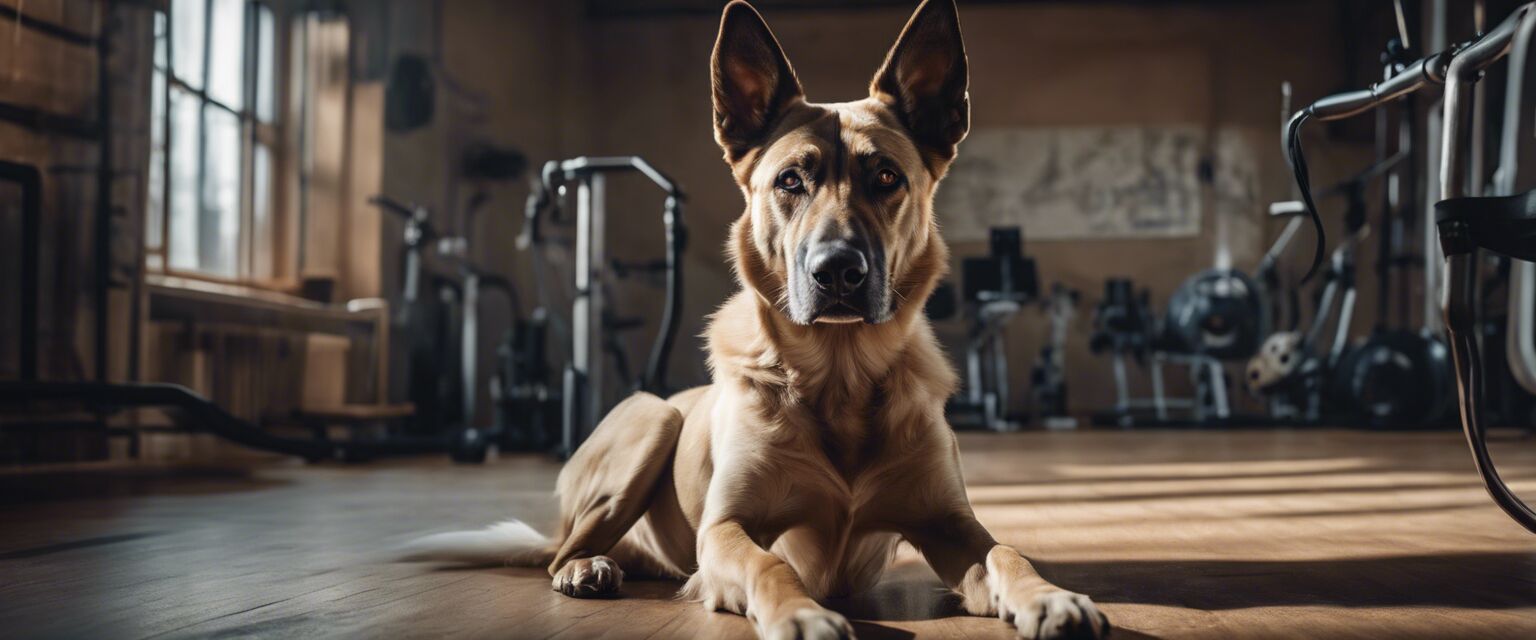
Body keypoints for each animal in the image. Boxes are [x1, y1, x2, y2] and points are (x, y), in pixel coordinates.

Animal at [402, 2, 1112, 635]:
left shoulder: (951, 525)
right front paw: (801, 613)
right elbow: (770, 565)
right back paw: (588, 566)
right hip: (652, 420)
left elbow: (1007, 552)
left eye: (887, 177)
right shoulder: (726, 532)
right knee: (563, 552)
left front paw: (1049, 597)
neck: (840, 378)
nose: (837, 272)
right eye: (790, 181)